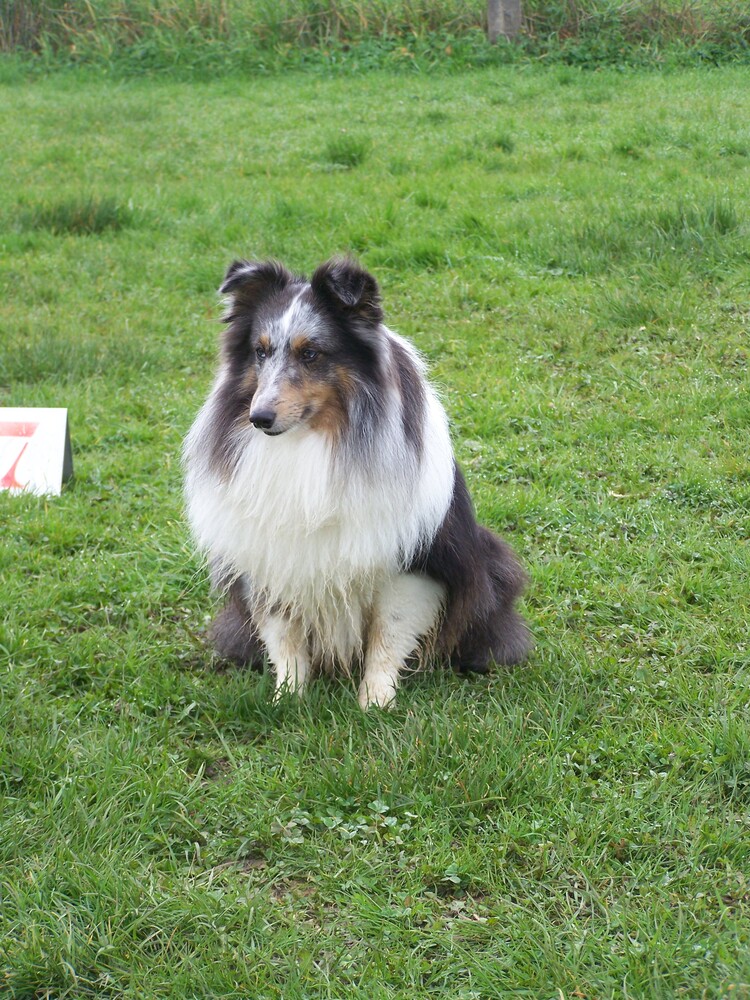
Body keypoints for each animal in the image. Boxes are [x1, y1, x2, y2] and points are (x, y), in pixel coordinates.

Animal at [184, 258, 532, 712]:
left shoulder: (408, 565)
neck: (313, 442)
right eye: (260, 351)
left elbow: (388, 635)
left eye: (310, 353)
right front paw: (287, 700)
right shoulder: (270, 560)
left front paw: (376, 704)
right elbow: (285, 639)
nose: (258, 418)